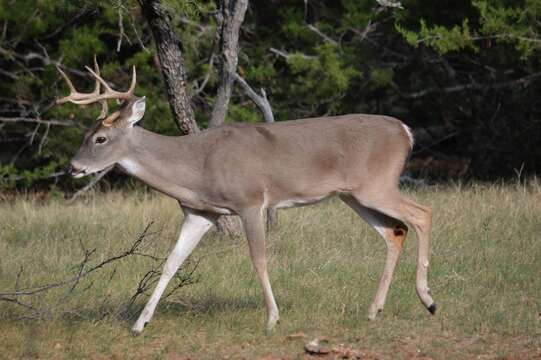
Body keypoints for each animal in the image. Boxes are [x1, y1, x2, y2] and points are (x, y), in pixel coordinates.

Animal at [56, 60, 434, 336]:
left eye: (100, 138)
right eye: (87, 134)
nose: (73, 167)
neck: (196, 168)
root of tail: (405, 131)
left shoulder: (250, 200)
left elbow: (259, 258)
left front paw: (272, 319)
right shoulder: (199, 213)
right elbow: (171, 262)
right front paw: (139, 324)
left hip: (377, 184)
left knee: (422, 214)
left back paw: (428, 299)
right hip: (353, 195)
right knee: (395, 231)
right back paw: (374, 310)